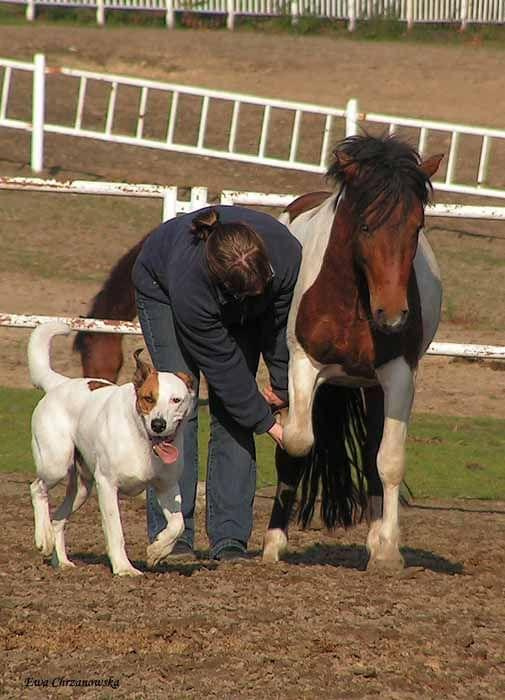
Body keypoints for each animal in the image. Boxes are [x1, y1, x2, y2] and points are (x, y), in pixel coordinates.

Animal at [28, 322, 195, 576]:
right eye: (148, 398)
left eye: (176, 400)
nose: (158, 424)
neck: (142, 439)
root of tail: (60, 384)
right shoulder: (107, 484)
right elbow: (115, 530)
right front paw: (124, 568)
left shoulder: (166, 486)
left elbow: (177, 525)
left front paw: (157, 551)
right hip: (56, 464)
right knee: (37, 488)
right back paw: (43, 538)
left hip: (82, 488)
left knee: (58, 518)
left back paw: (62, 561)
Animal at [262, 134, 442, 572]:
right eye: (365, 225)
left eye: (417, 227)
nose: (392, 316)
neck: (352, 298)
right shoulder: (303, 364)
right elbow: (296, 442)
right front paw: (274, 544)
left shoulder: (399, 375)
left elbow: (388, 460)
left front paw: (388, 551)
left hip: (375, 388)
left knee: (375, 450)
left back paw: (377, 539)